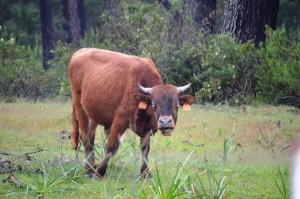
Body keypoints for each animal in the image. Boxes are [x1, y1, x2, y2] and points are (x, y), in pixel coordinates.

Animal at [68, 47, 195, 177]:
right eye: (154, 105)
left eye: (177, 105)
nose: (165, 122)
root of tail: (79, 52)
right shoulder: (119, 121)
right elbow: (111, 146)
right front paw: (100, 173)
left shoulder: (147, 129)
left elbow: (145, 149)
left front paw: (146, 173)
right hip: (80, 110)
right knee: (85, 137)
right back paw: (89, 169)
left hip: (93, 116)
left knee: (91, 138)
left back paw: (91, 166)